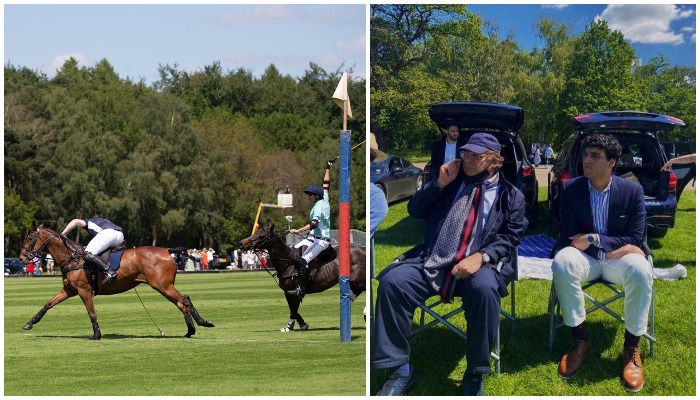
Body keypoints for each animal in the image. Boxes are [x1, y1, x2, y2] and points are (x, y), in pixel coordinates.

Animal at [17, 227, 215, 340]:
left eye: (29, 238)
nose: (21, 258)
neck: (72, 258)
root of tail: (167, 250)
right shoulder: (70, 289)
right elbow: (48, 304)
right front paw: (29, 323)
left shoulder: (84, 290)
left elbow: (92, 313)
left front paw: (96, 335)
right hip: (164, 286)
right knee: (182, 302)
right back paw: (191, 330)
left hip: (162, 285)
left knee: (184, 300)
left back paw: (202, 323)